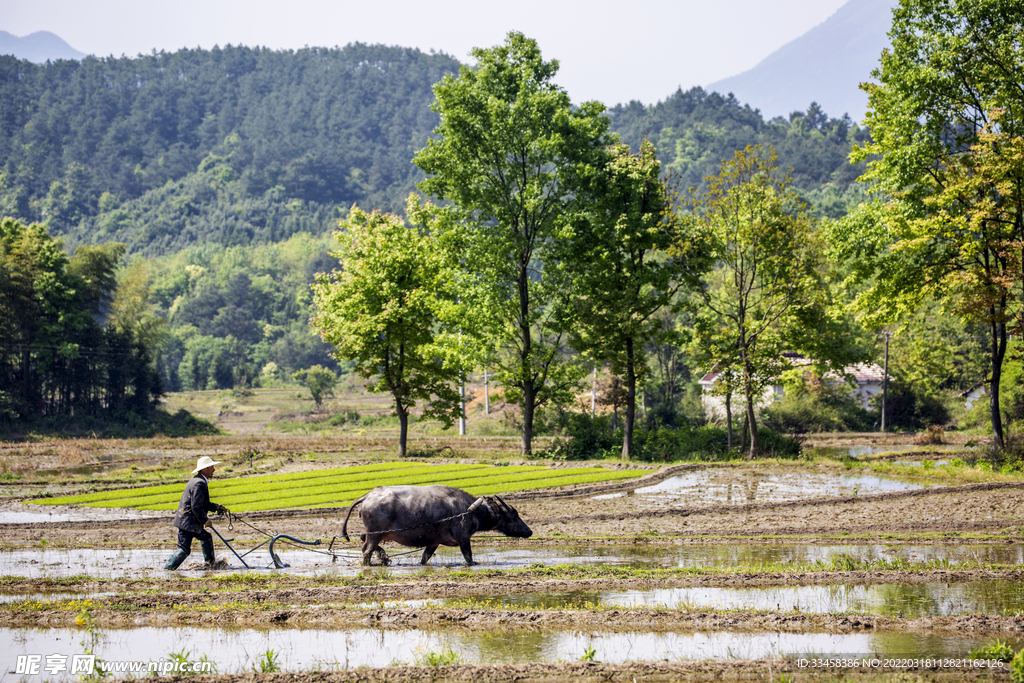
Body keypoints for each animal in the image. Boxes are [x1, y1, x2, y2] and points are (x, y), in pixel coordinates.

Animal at [344, 485, 536, 565]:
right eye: (513, 515)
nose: (529, 531)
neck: (470, 510)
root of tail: (368, 496)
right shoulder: (464, 538)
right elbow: (468, 556)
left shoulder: (433, 542)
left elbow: (425, 558)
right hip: (375, 534)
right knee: (366, 551)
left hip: (373, 534)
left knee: (365, 544)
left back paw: (383, 557)